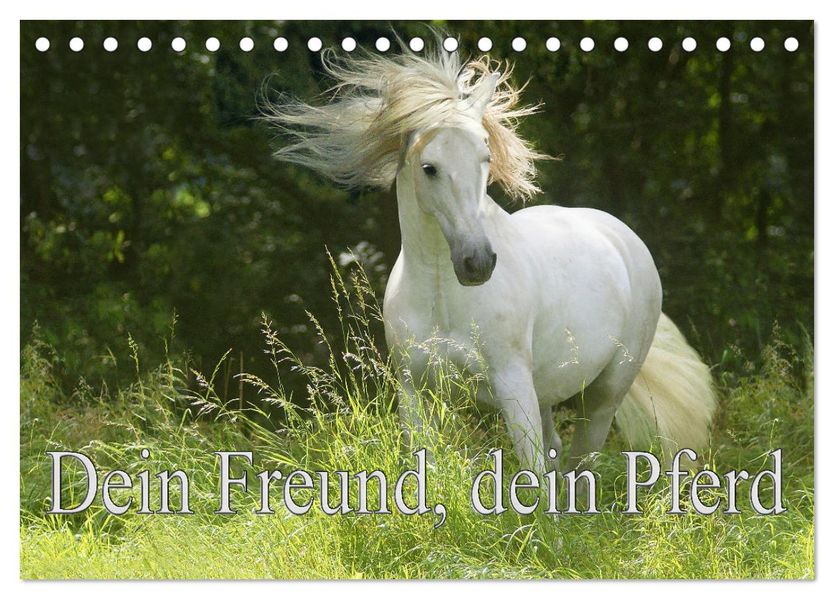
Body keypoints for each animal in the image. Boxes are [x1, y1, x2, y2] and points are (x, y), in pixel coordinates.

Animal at [265, 44, 717, 473]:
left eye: (485, 157)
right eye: (429, 167)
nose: (477, 263)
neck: (442, 297)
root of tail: (623, 236)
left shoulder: (511, 384)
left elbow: (532, 475)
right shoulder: (414, 393)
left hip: (603, 395)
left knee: (581, 461)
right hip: (547, 391)